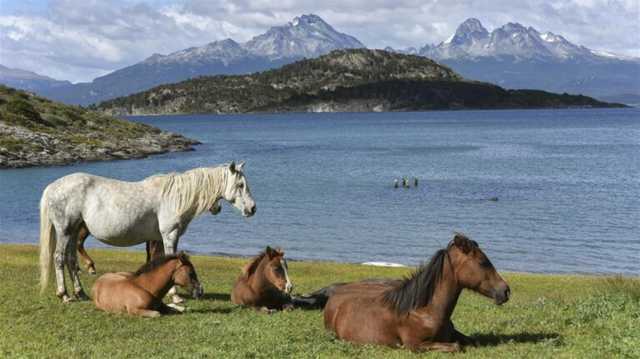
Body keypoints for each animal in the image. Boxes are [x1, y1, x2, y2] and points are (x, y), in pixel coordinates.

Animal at [38, 162, 255, 302]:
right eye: (240, 185)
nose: (252, 208)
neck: (175, 196)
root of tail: (52, 187)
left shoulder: (160, 238)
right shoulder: (169, 235)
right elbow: (170, 259)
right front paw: (175, 296)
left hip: (74, 231)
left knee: (71, 259)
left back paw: (80, 293)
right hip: (65, 230)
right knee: (59, 258)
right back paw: (64, 294)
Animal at [324, 233, 510, 354]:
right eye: (482, 262)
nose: (505, 291)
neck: (425, 310)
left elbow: (472, 341)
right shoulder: (415, 345)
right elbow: (456, 346)